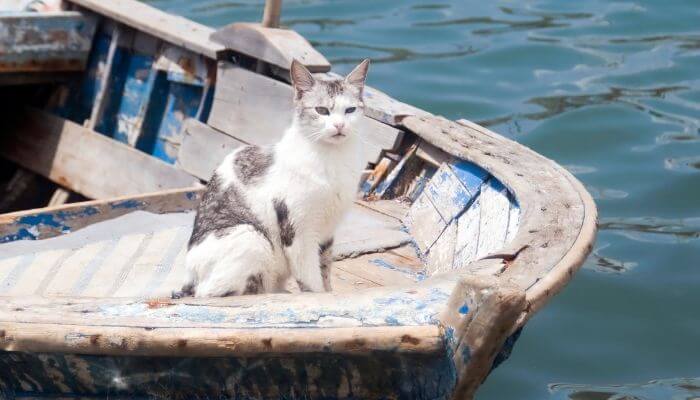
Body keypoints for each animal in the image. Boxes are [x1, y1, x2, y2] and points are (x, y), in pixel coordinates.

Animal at [175, 58, 372, 296]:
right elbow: (310, 279)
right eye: (322, 110)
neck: (332, 159)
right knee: (212, 293)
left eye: (350, 110)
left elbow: (324, 269)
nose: (339, 125)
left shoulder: (327, 231)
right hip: (251, 237)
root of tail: (187, 279)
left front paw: (328, 293)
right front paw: (316, 295)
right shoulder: (298, 231)